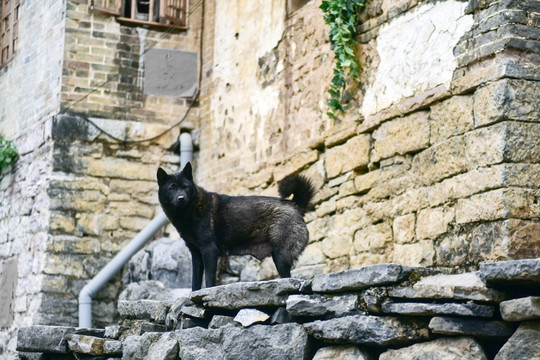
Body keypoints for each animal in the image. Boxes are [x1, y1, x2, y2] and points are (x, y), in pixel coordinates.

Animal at [155, 162, 316, 290]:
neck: (191, 211)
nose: (181, 198)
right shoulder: (196, 254)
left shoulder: (209, 251)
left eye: (185, 187)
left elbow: (209, 280)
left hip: (281, 257)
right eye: (172, 188)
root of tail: (295, 205)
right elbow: (195, 281)